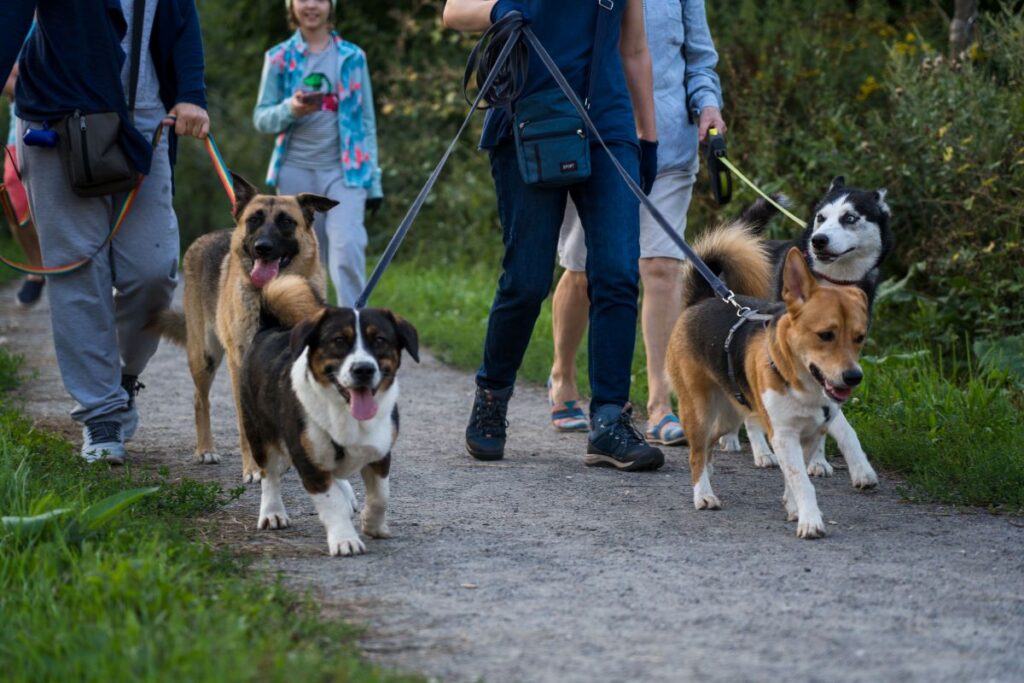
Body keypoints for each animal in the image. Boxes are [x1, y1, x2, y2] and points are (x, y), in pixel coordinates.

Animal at [153, 174, 335, 483]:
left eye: (287, 222)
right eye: (254, 220)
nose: (263, 246)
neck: (272, 296)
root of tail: (205, 237)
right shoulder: (241, 365)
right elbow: (245, 424)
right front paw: (254, 468)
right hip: (205, 355)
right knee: (200, 400)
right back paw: (206, 450)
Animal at [241, 274, 417, 557]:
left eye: (379, 340)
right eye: (339, 340)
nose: (363, 369)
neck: (346, 413)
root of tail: (269, 328)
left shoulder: (380, 453)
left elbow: (380, 495)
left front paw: (373, 524)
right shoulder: (309, 461)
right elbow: (331, 502)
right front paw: (345, 539)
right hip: (258, 431)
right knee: (270, 475)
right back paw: (272, 512)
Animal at [663, 228, 872, 540]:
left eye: (859, 337)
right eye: (825, 335)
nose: (853, 376)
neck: (804, 387)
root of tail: (701, 301)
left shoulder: (808, 435)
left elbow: (794, 478)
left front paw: (794, 508)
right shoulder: (783, 434)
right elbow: (802, 482)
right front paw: (810, 520)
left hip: (729, 415)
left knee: (708, 445)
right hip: (699, 410)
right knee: (695, 453)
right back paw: (703, 494)